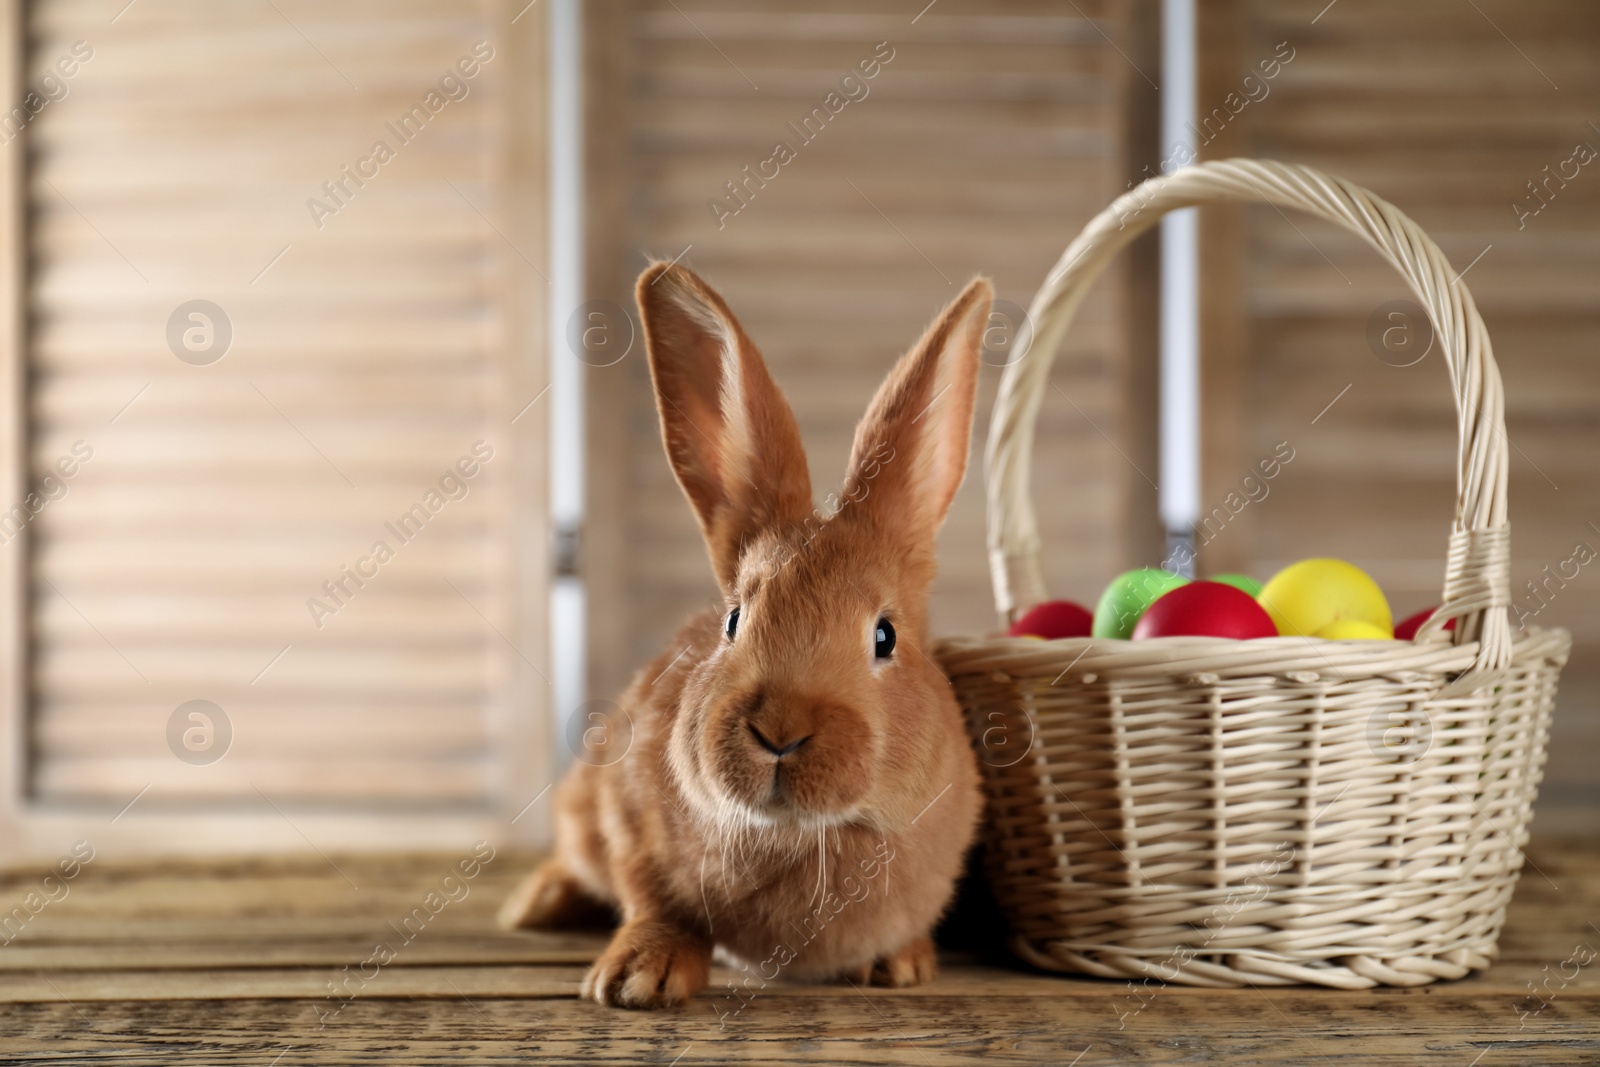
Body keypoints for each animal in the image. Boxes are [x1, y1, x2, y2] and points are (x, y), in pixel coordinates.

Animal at [499, 260, 992, 1011]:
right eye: (734, 621)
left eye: (885, 637)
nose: (780, 730)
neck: (803, 838)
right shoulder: (630, 820)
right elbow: (654, 901)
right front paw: (636, 978)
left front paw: (901, 963)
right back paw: (533, 904)